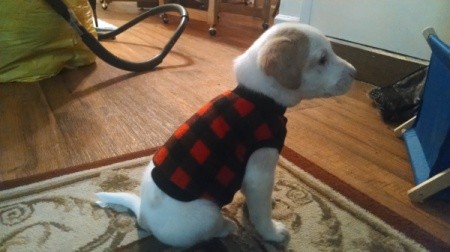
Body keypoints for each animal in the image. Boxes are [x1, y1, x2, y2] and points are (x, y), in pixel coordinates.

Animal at [96, 22, 356, 247]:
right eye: (322, 59)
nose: (355, 72)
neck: (258, 96)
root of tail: (143, 216)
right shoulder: (260, 171)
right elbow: (261, 212)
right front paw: (271, 233)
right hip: (207, 211)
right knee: (208, 232)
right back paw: (226, 227)